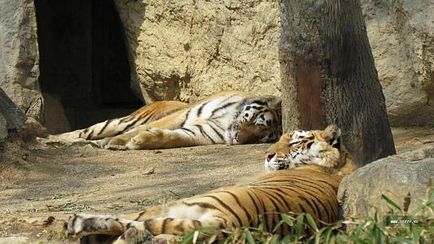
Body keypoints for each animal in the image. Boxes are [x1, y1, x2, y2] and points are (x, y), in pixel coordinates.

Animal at [50, 91, 282, 150]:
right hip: (124, 120)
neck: (226, 122)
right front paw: (116, 143)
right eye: (257, 122)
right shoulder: (181, 115)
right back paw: (53, 139)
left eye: (262, 138)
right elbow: (149, 128)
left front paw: (141, 142)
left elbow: (175, 136)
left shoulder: (201, 132)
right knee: (85, 132)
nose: (237, 139)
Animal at [64, 125, 356, 243]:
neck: (342, 163)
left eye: (295, 142)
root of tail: (232, 221)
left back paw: (78, 224)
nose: (267, 154)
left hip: (186, 201)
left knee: (128, 221)